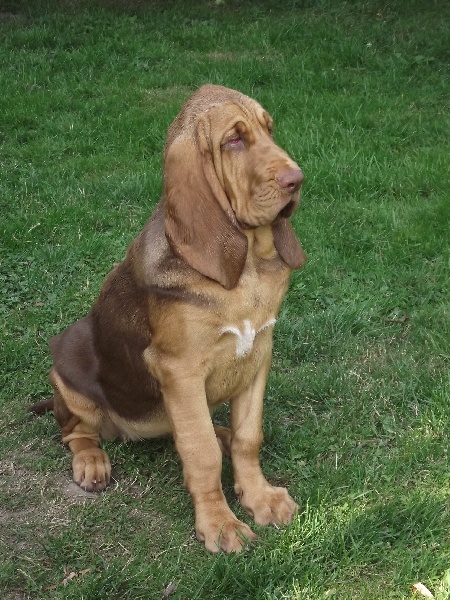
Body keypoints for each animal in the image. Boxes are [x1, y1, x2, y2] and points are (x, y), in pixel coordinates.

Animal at [31, 85, 306, 552]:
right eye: (234, 140)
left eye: (269, 130)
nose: (297, 180)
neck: (248, 263)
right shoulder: (179, 370)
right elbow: (200, 452)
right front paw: (220, 524)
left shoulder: (258, 354)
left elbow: (249, 437)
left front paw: (260, 498)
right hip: (68, 371)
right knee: (75, 432)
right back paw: (92, 461)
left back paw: (221, 432)